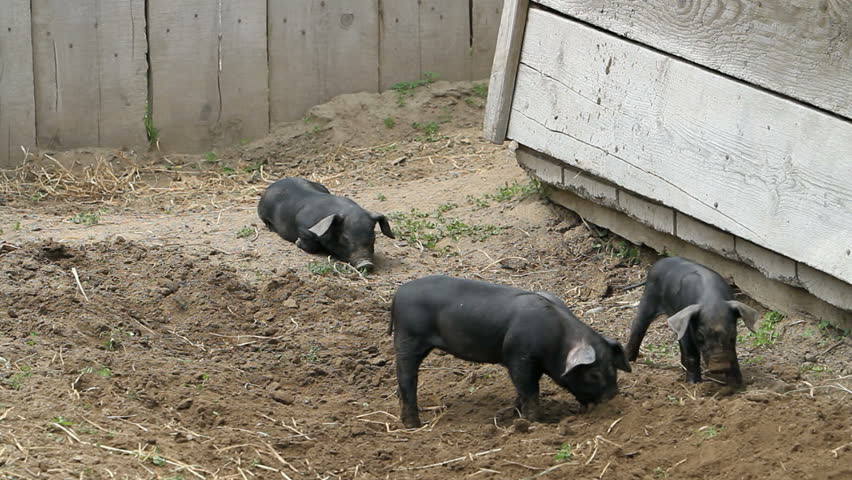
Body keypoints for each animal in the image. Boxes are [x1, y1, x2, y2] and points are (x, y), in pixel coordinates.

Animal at [257, 177, 394, 272]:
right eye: (345, 238)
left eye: (373, 238)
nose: (366, 264)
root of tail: (273, 184)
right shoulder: (304, 228)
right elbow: (310, 245)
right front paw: (297, 242)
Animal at [389, 275, 632, 428]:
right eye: (594, 373)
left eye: (614, 368)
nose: (613, 398)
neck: (557, 338)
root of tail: (399, 293)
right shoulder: (519, 356)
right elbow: (529, 391)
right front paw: (535, 423)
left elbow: (522, 391)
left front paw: (510, 415)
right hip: (408, 338)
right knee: (406, 377)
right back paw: (413, 425)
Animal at [625, 257, 758, 388]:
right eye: (700, 335)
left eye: (733, 334)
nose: (719, 366)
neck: (712, 301)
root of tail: (658, 262)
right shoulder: (687, 331)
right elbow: (692, 354)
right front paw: (693, 384)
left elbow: (733, 355)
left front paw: (736, 384)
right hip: (648, 300)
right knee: (638, 326)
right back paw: (630, 360)